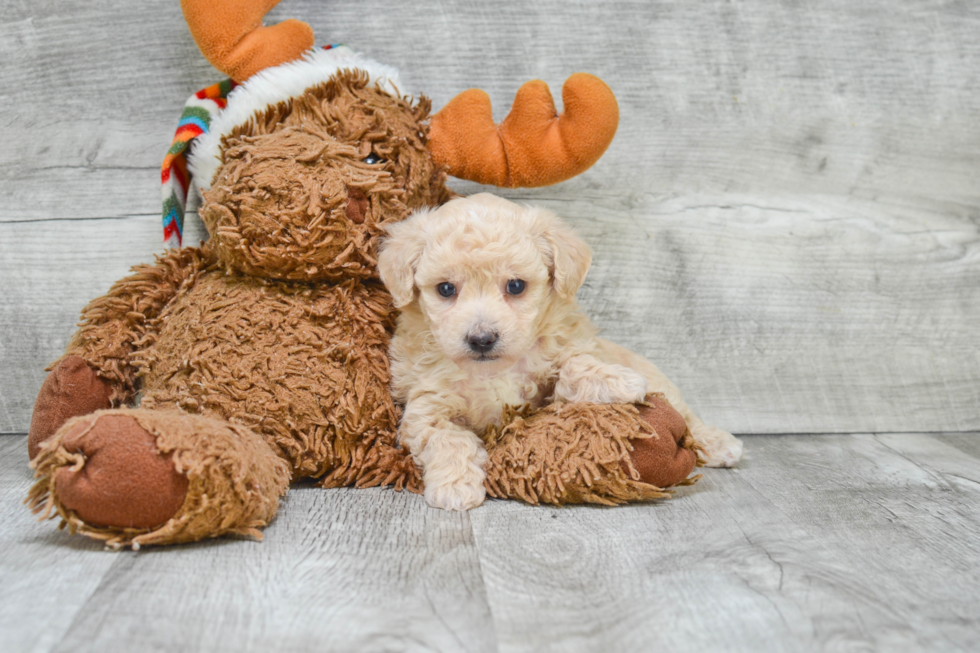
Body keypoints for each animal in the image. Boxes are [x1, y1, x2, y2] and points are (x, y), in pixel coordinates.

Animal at [378, 194, 744, 510]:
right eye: (445, 289)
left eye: (515, 286)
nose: (481, 339)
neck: (494, 370)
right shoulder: (426, 408)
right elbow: (449, 440)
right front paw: (455, 487)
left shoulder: (549, 380)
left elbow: (573, 366)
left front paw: (616, 381)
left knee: (689, 418)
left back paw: (720, 444)